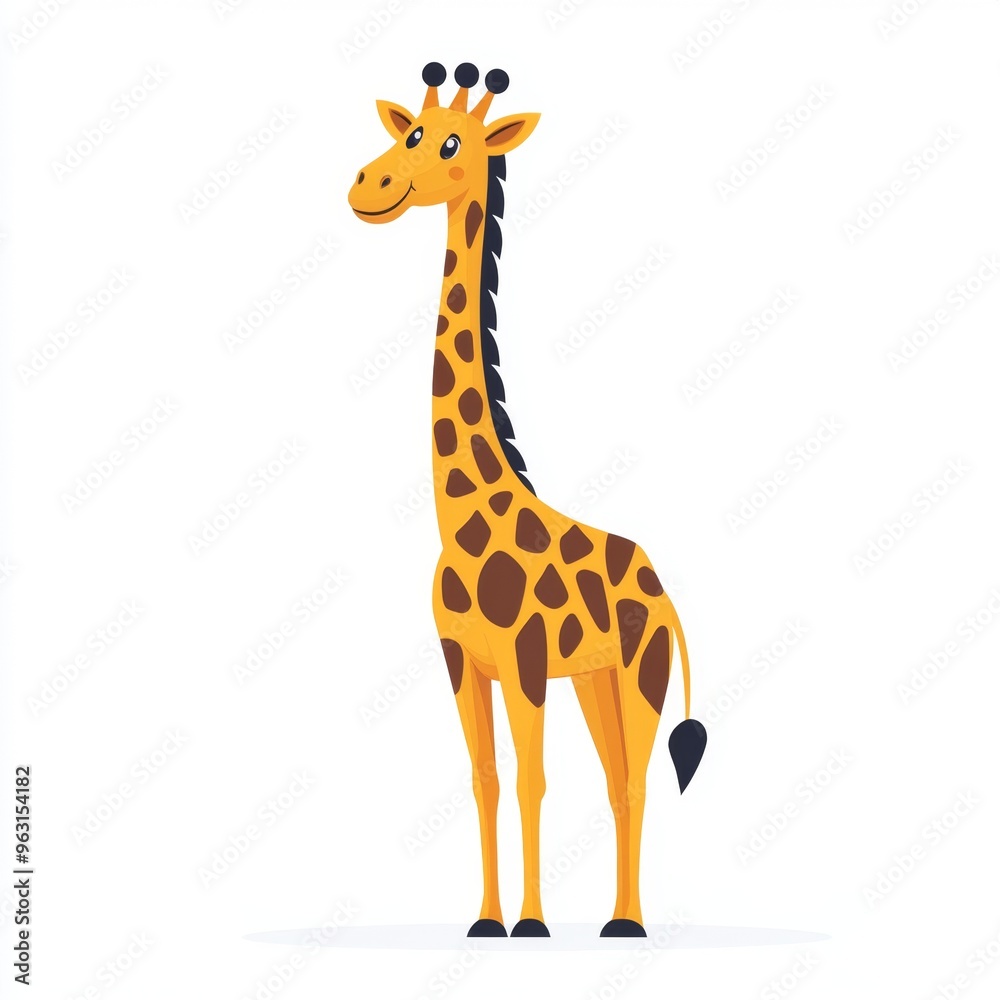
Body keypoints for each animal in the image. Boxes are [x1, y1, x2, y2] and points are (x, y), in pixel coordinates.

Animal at [348, 62, 707, 939]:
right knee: (615, 777)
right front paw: (487, 921)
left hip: (641, 673)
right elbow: (484, 777)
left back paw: (628, 924)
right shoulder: (462, 661)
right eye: (408, 131)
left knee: (633, 778)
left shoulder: (528, 663)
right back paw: (616, 919)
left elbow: (533, 779)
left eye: (451, 145)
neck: (459, 520)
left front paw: (534, 925)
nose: (367, 186)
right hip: (596, 682)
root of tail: (662, 585)